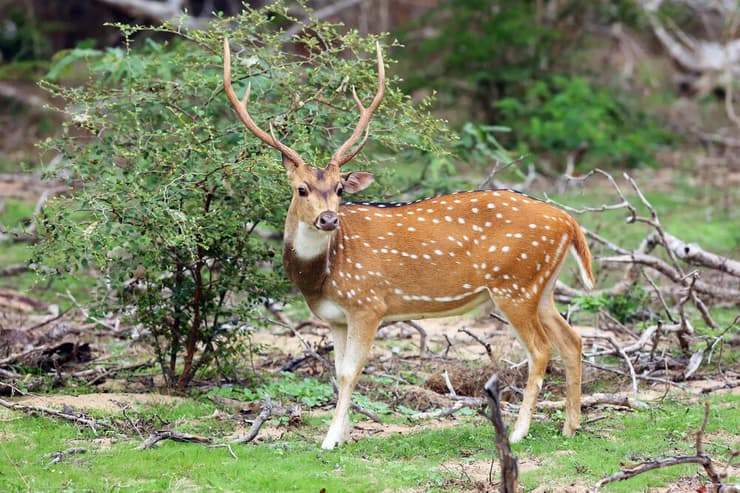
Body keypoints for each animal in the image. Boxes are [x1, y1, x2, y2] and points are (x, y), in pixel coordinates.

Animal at [221, 39, 596, 450]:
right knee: (573, 339)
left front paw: (331, 439)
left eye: (339, 189)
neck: (322, 275)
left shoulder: (368, 303)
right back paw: (571, 426)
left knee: (541, 349)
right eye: (301, 189)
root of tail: (569, 221)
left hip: (515, 284)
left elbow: (351, 371)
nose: (329, 219)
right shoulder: (336, 317)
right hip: (540, 287)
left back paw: (518, 431)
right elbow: (337, 371)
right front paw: (343, 432)